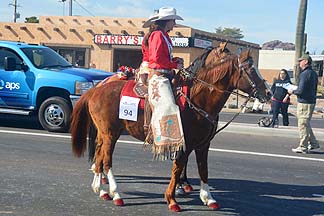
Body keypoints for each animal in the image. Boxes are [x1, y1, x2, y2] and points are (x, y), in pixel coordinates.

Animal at [70, 44, 270, 213]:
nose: (268, 93)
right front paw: (172, 199)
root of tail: (96, 89)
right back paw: (115, 193)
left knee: (99, 155)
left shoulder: (203, 144)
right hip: (110, 134)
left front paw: (208, 197)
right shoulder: (184, 143)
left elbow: (203, 169)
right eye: (251, 69)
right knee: (107, 160)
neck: (197, 98)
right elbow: (177, 168)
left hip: (106, 134)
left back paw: (101, 189)